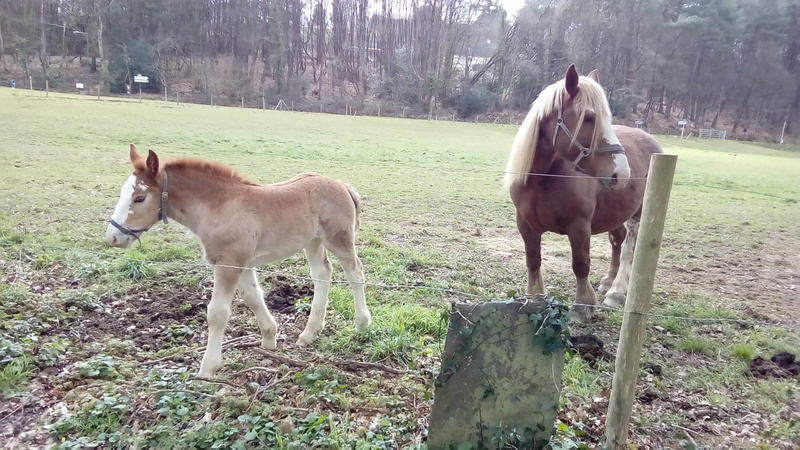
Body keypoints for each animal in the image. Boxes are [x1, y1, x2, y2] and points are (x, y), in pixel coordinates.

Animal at [106, 145, 372, 376]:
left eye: (140, 198)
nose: (113, 236)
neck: (219, 207)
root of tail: (342, 185)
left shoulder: (228, 263)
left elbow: (217, 313)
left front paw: (207, 369)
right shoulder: (242, 263)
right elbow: (253, 298)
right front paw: (269, 338)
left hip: (339, 239)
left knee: (355, 273)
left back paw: (361, 323)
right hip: (313, 242)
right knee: (322, 274)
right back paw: (309, 334)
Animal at [506, 66, 664, 320]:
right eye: (589, 118)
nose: (621, 172)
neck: (543, 178)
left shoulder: (579, 226)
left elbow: (581, 264)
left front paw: (582, 305)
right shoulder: (526, 224)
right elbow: (533, 260)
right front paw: (535, 297)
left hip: (638, 213)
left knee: (629, 246)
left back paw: (617, 291)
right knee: (617, 239)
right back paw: (609, 281)